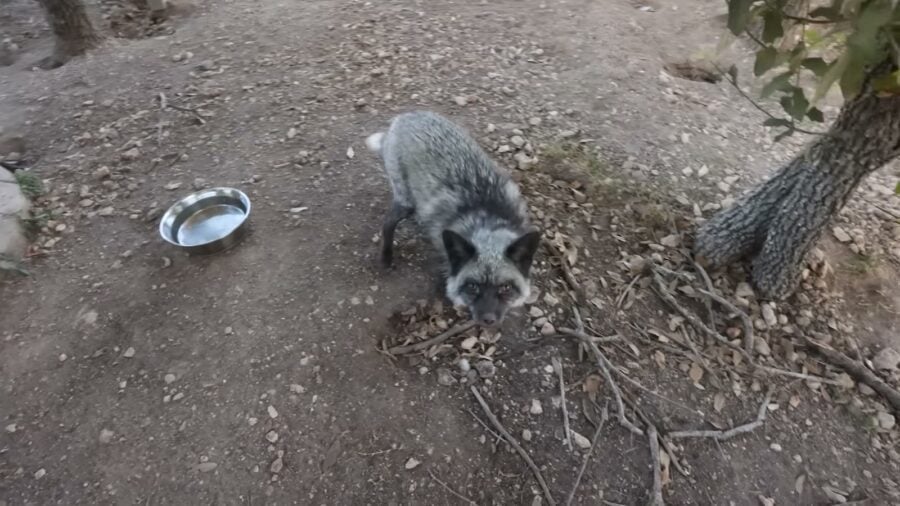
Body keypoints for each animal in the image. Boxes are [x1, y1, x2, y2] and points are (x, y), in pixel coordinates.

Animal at [366, 111, 541, 326]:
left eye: (505, 288)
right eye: (473, 286)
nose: (488, 320)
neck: (486, 219)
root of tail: (405, 116)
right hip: (405, 203)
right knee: (388, 222)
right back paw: (386, 257)